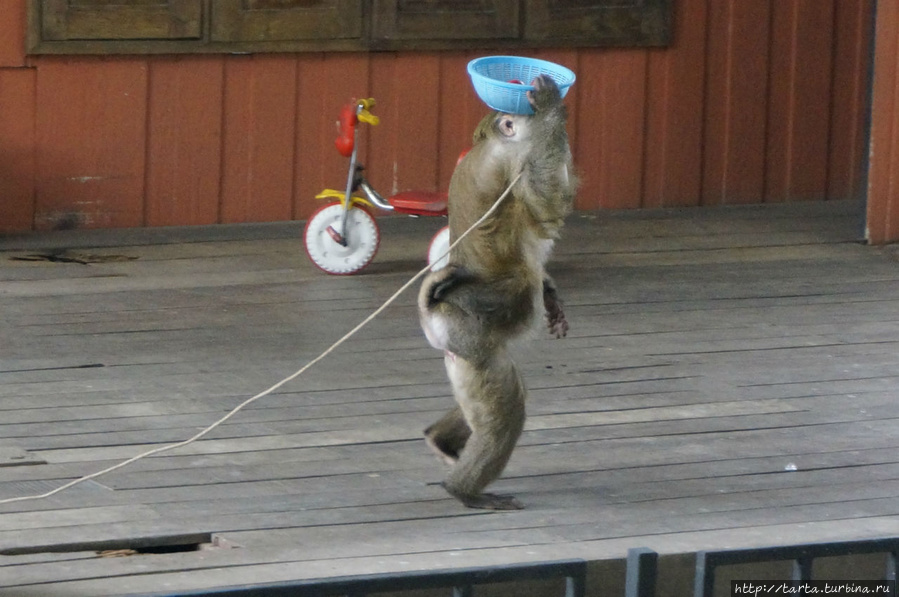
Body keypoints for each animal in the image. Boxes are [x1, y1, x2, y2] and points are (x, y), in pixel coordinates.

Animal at [416, 74, 576, 508]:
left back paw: (440, 442)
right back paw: (463, 490)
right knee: (506, 407)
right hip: (468, 336)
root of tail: (433, 314)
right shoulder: (515, 160)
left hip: (459, 350)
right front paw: (552, 109)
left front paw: (551, 295)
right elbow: (550, 203)